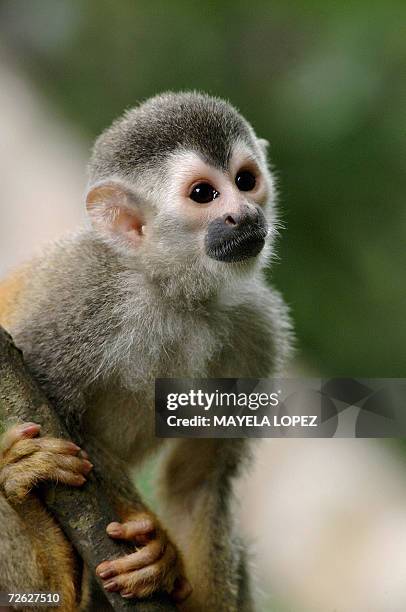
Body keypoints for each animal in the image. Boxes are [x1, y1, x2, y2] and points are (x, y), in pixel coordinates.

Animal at [0, 92, 292, 612]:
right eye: (204, 194)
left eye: (245, 181)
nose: (245, 214)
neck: (170, 290)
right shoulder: (82, 297)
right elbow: (57, 416)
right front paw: (158, 552)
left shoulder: (258, 329)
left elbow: (198, 478)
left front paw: (175, 574)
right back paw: (53, 568)